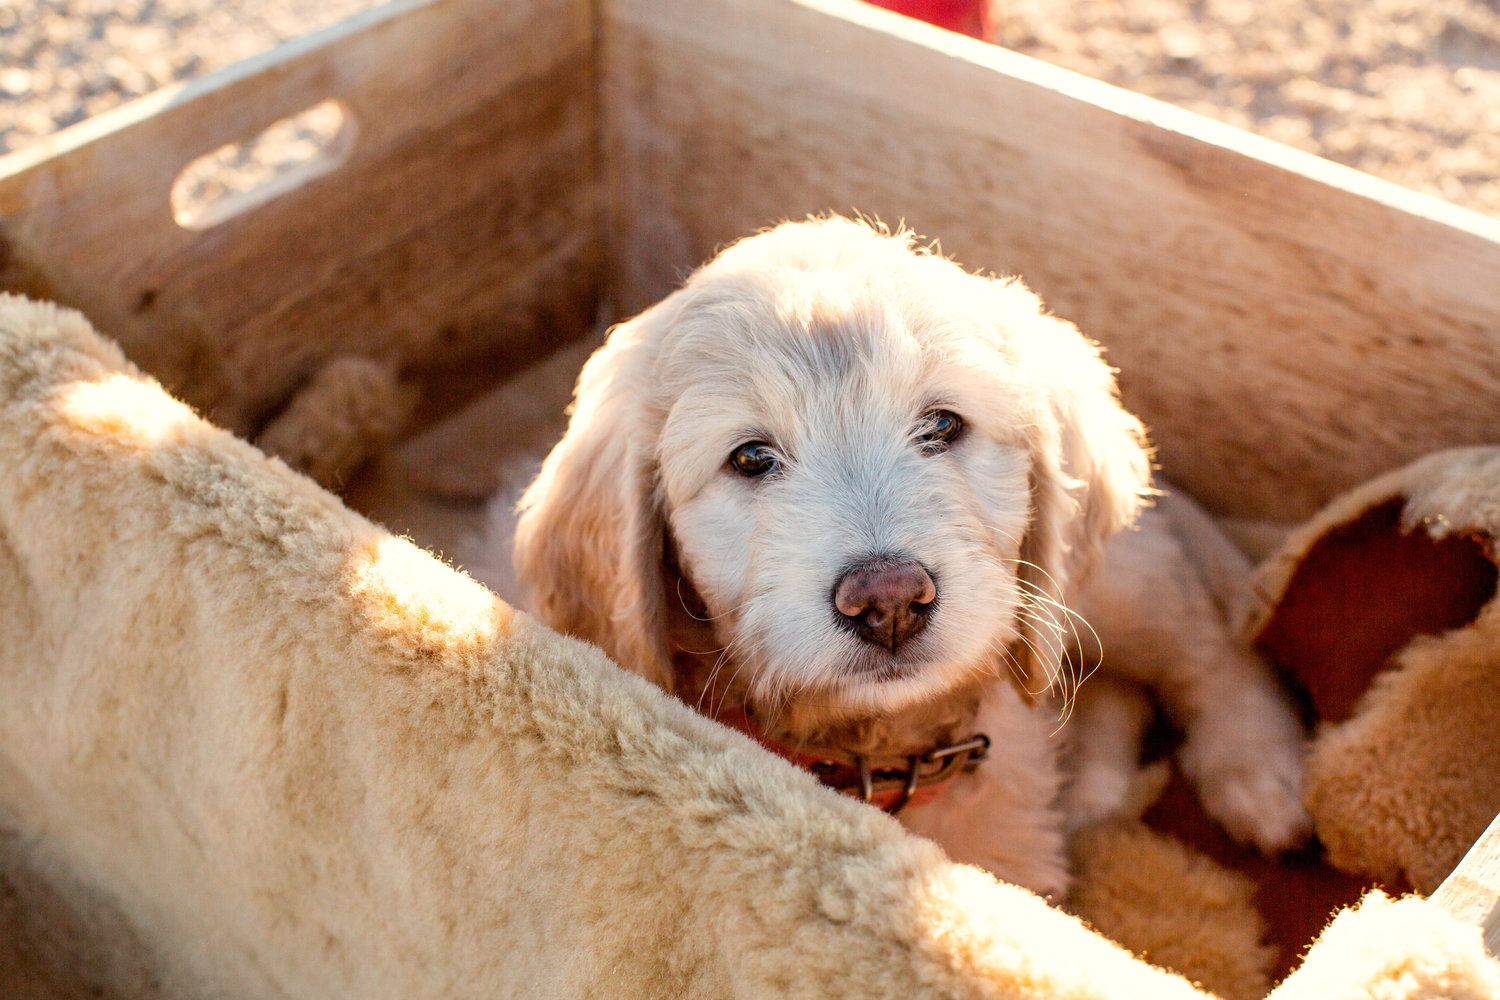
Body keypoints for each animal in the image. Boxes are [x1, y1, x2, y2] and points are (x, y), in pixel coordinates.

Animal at [510, 215, 1308, 893]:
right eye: (751, 458)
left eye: (942, 425)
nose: (889, 599)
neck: (880, 754)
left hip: (1104, 587)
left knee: (1207, 649)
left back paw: (1260, 774)